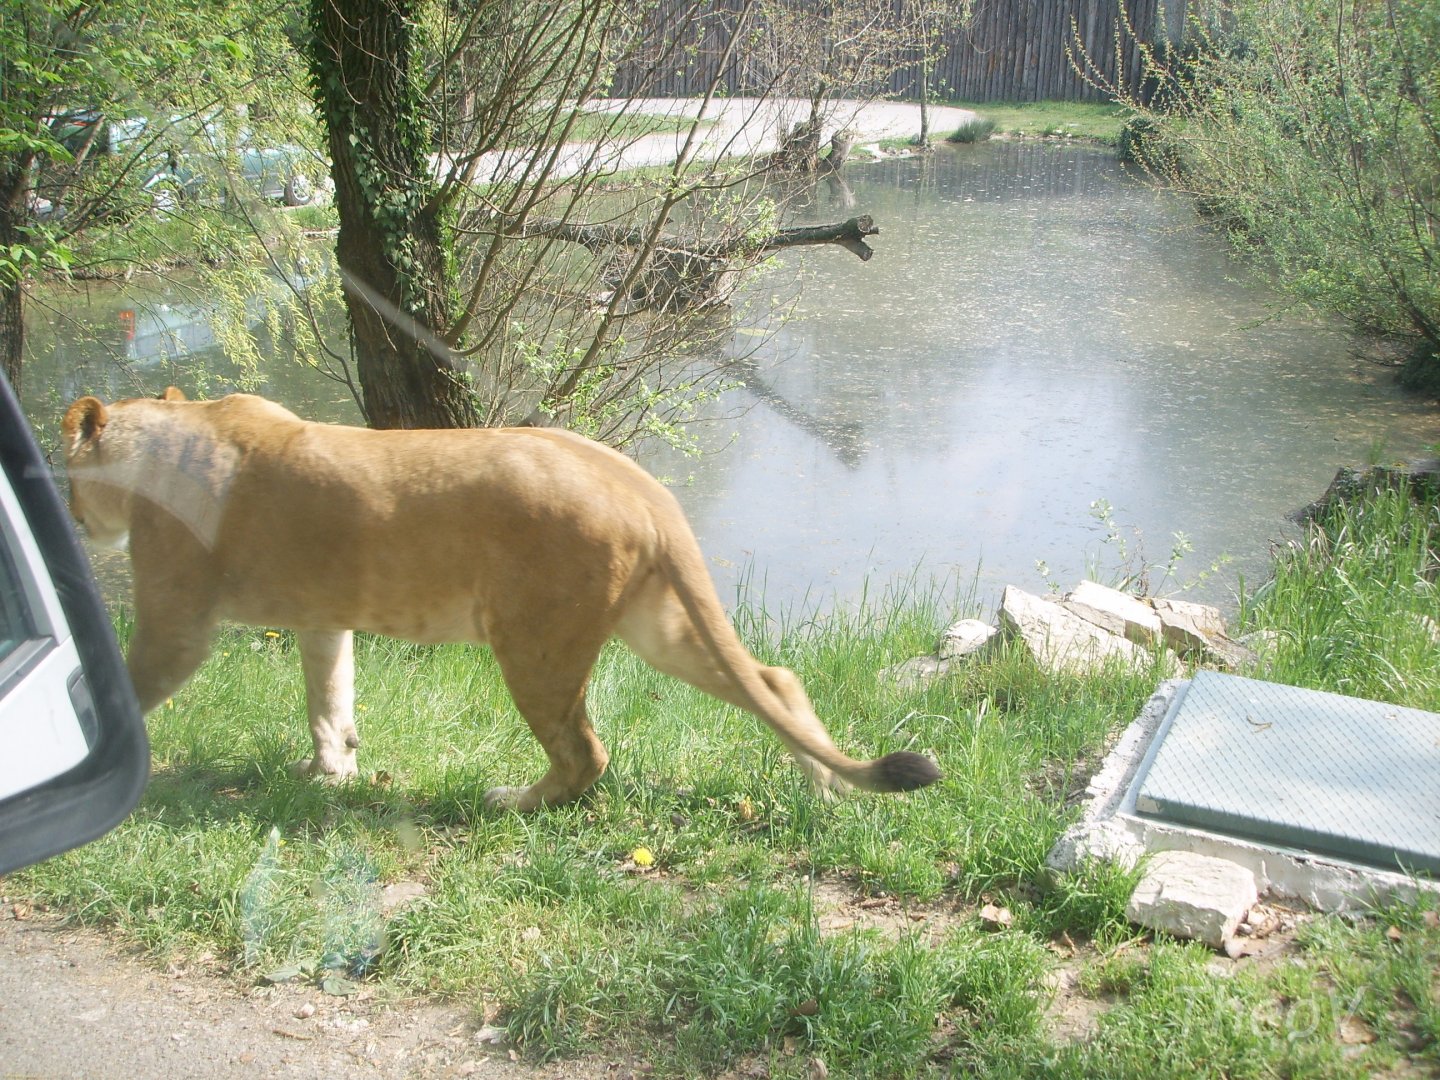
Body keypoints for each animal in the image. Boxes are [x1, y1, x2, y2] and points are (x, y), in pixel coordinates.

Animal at [61, 388, 940, 811]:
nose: (68, 518)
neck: (160, 439)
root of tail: (644, 486)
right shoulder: (323, 621)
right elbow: (328, 701)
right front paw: (330, 774)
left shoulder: (178, 624)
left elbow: (130, 688)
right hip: (658, 627)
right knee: (774, 681)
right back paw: (825, 784)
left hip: (535, 644)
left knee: (587, 754)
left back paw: (511, 801)